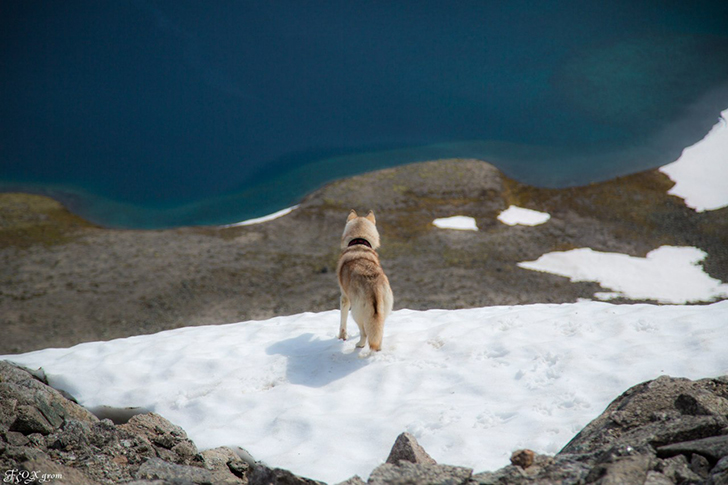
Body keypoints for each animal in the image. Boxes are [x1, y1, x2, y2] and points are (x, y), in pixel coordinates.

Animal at [336, 210, 392, 350]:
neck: (359, 242)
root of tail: (374, 286)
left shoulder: (344, 298)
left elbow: (342, 322)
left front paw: (342, 336)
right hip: (383, 312)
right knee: (377, 333)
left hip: (356, 312)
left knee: (364, 333)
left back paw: (359, 345)